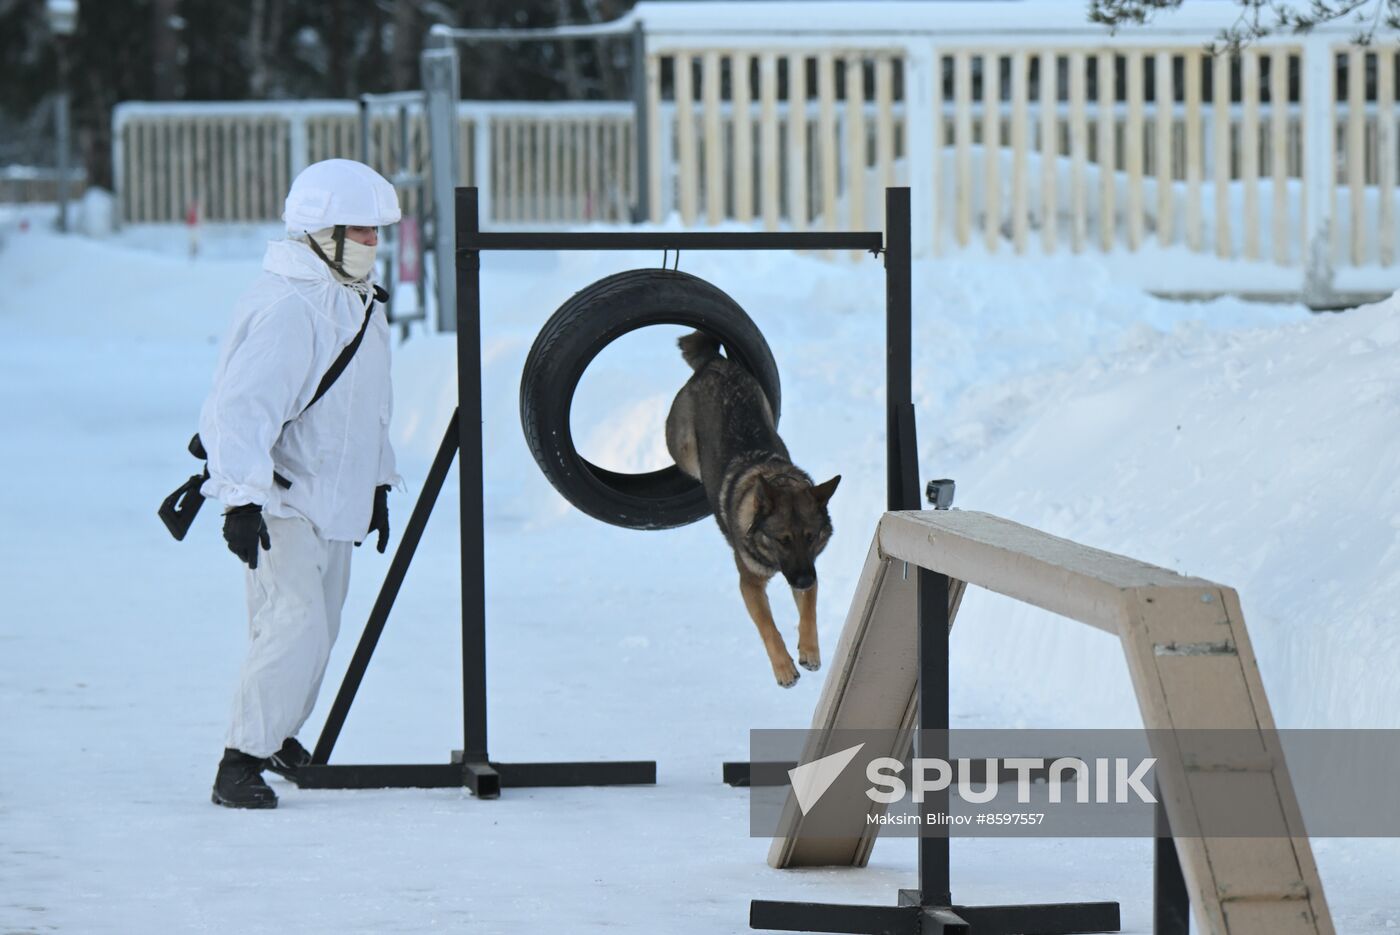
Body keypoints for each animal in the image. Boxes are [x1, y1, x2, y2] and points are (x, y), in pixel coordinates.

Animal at [669, 334, 840, 685]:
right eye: (782, 539)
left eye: (811, 536)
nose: (804, 581)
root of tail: (714, 361)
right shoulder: (749, 584)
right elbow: (768, 627)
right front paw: (784, 668)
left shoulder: (808, 568)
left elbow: (810, 611)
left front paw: (809, 651)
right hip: (684, 449)